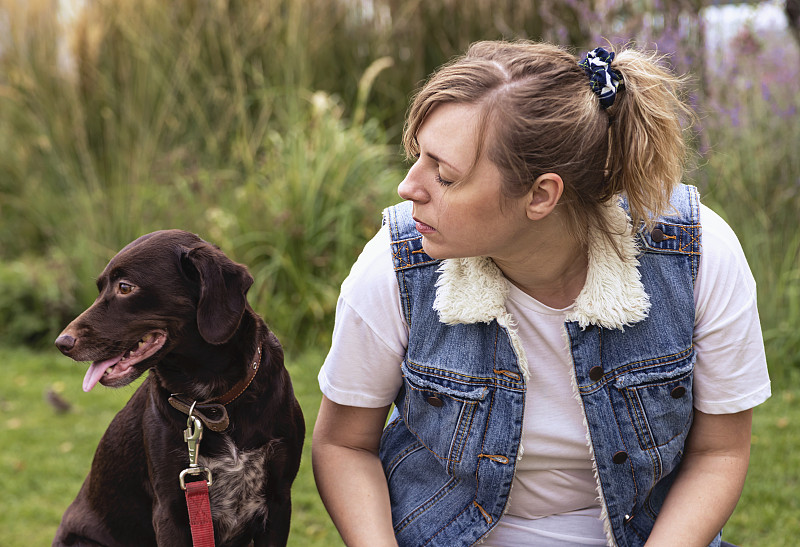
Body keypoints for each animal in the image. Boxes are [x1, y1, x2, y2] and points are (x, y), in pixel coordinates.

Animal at [51, 230, 304, 547]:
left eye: (125, 287)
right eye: (99, 288)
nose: (62, 343)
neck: (211, 402)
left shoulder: (279, 502)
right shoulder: (171, 510)